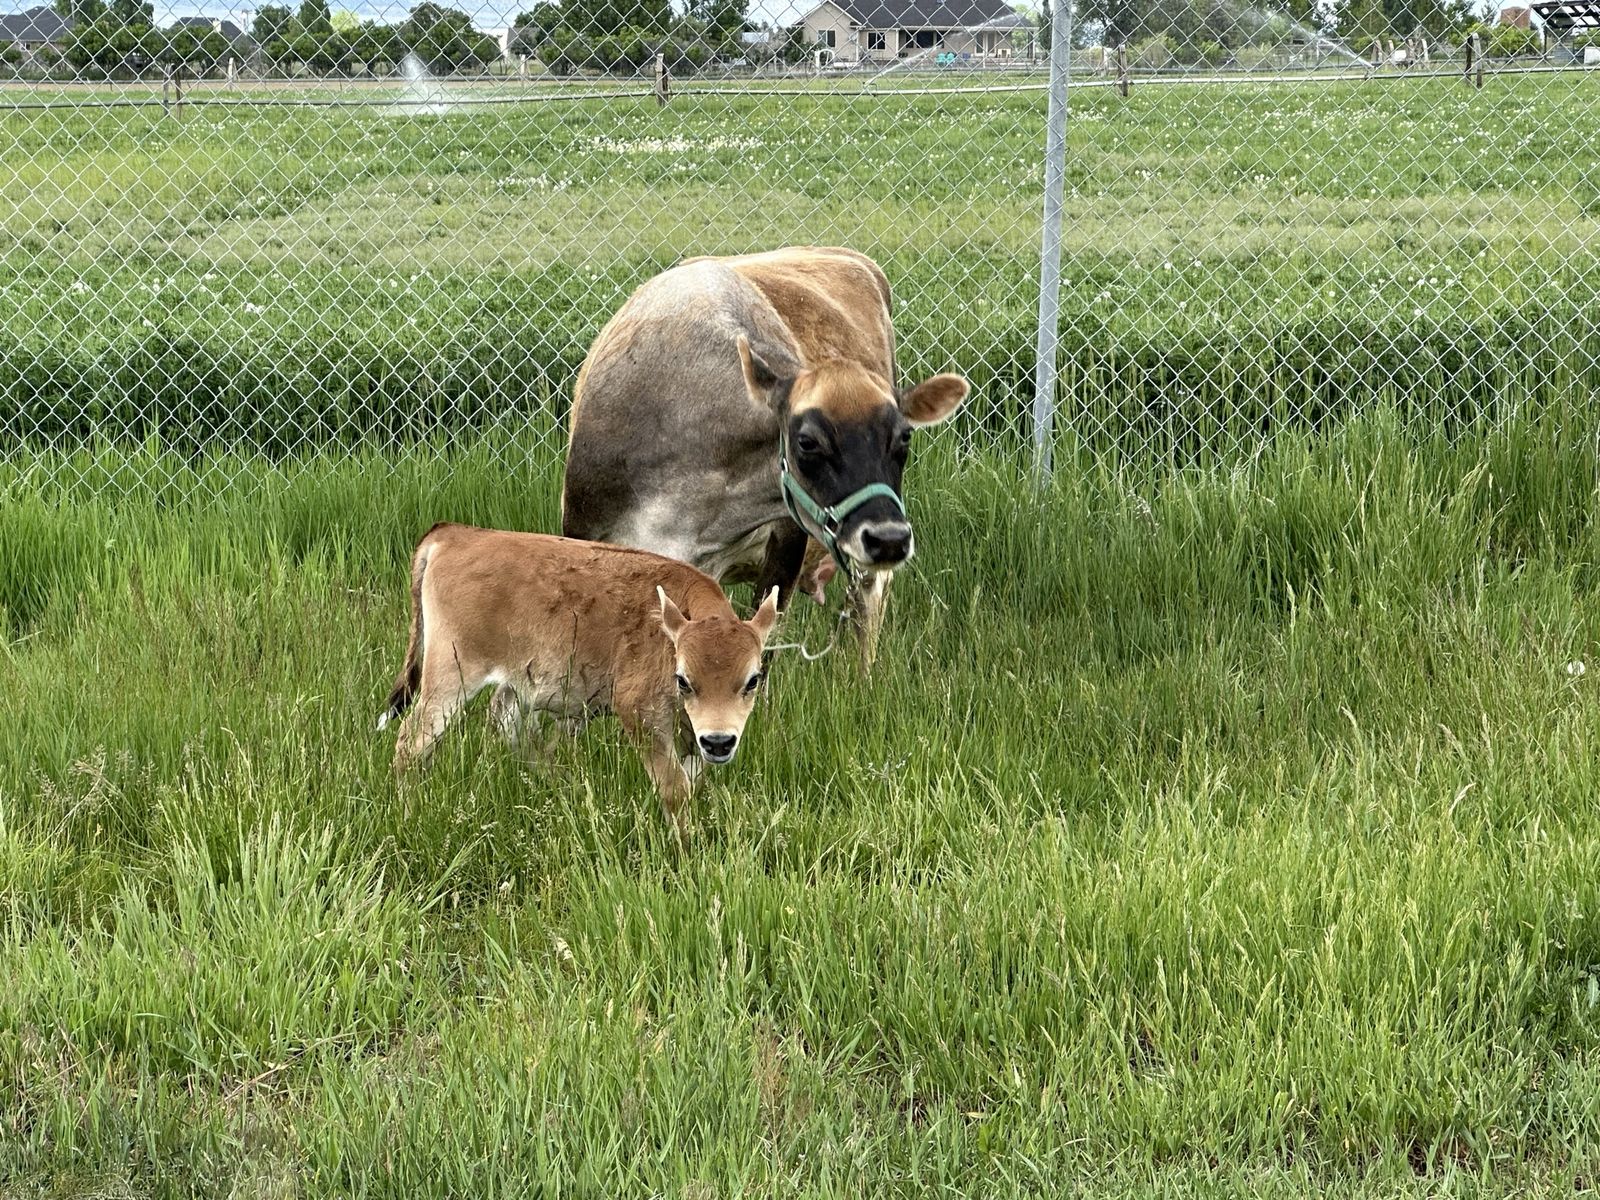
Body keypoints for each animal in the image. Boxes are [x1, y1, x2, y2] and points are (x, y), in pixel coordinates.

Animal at [378, 522, 780, 834]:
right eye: (683, 679)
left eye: (753, 679)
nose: (719, 741)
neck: (669, 636)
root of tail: (454, 534)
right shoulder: (641, 717)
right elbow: (674, 789)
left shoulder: (691, 737)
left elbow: (691, 781)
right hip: (451, 674)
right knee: (413, 741)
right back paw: (409, 812)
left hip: (516, 684)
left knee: (508, 725)